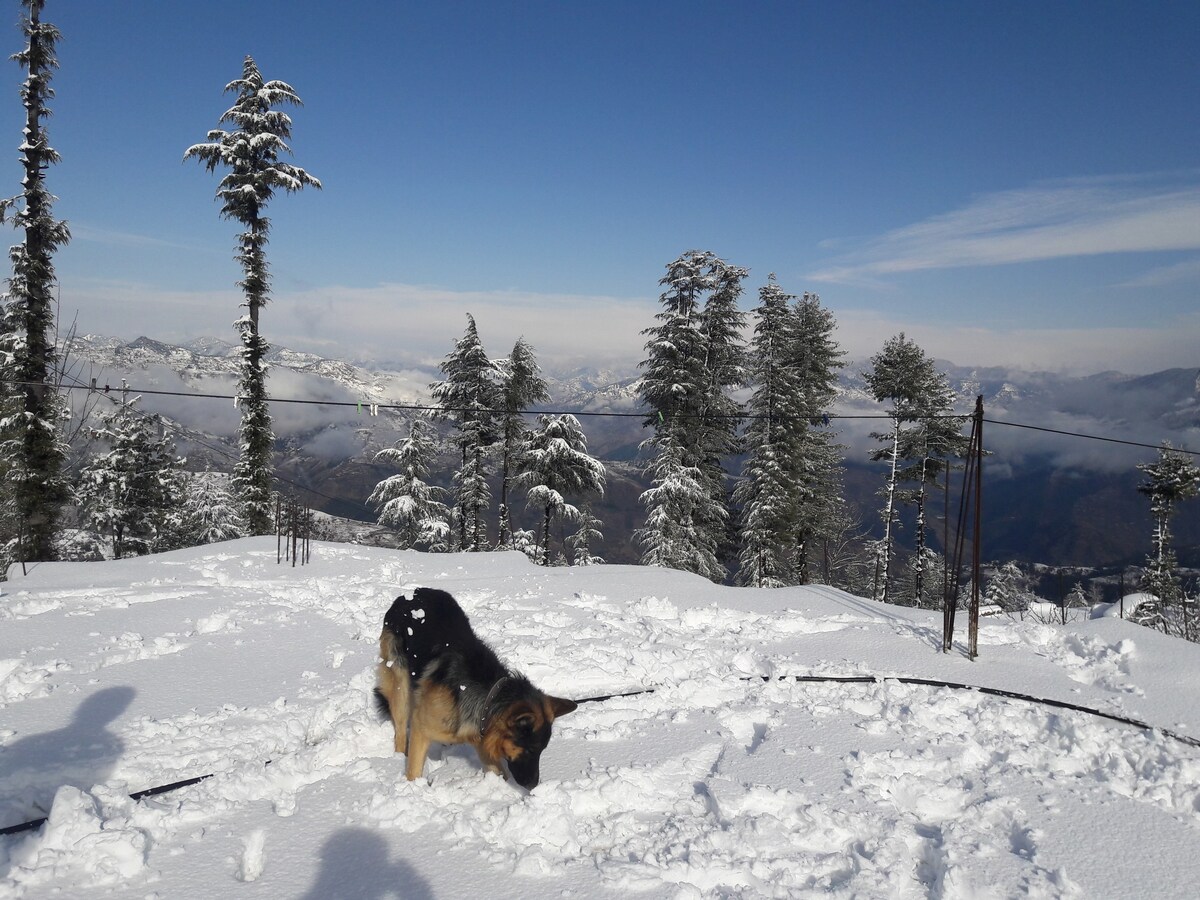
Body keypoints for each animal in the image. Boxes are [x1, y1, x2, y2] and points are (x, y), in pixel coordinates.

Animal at [376, 585, 578, 787]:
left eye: (543, 750)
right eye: (530, 750)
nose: (534, 785)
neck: (489, 694)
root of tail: (410, 594)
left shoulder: (482, 737)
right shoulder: (421, 728)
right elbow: (414, 770)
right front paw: (413, 787)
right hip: (400, 683)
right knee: (400, 729)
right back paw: (398, 755)